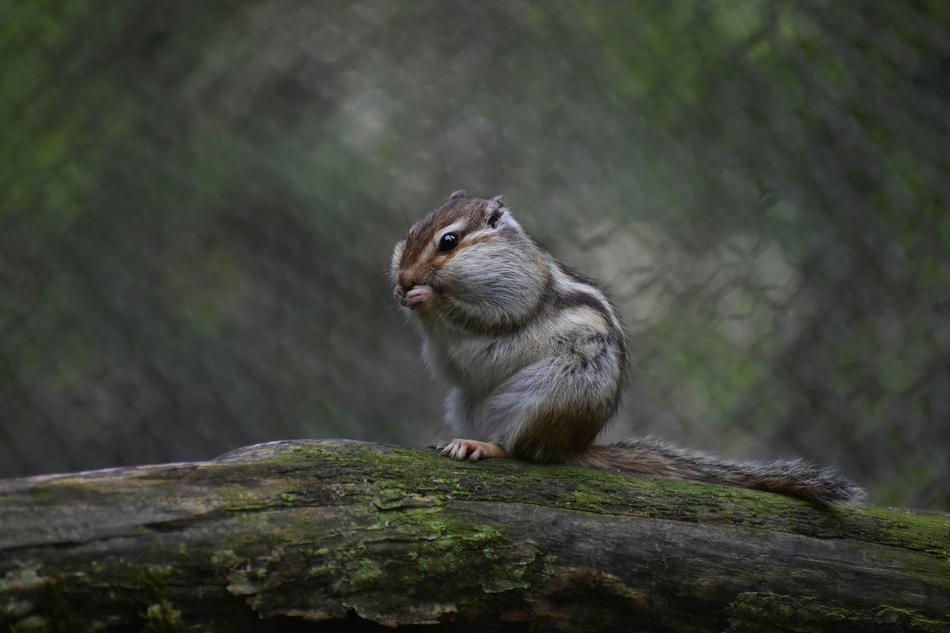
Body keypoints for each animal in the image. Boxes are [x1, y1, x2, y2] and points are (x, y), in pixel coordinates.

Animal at [391, 191, 865, 505]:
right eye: (410, 233)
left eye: (448, 241)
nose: (404, 278)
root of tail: (574, 445)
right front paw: (402, 294)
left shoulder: (514, 298)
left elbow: (482, 321)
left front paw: (427, 297)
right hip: (464, 403)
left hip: (546, 397)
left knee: (520, 450)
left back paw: (484, 447)